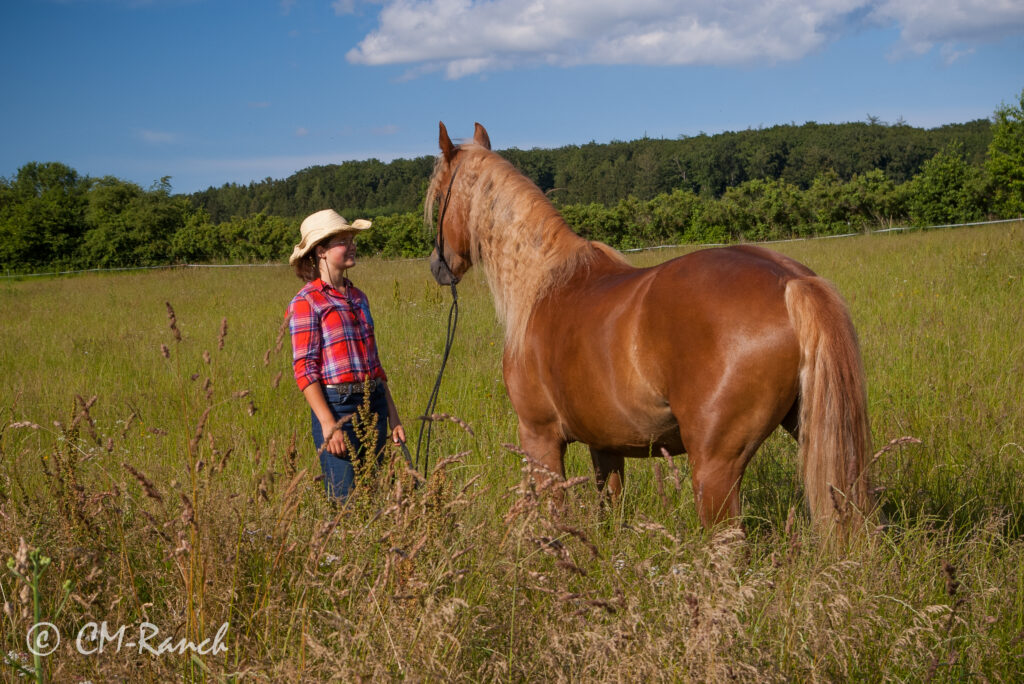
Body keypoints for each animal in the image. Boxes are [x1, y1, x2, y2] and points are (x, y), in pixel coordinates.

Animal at [423, 122, 872, 532]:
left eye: (439, 196)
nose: (438, 266)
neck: (543, 285)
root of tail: (789, 281)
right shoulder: (605, 445)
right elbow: (610, 512)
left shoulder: (540, 438)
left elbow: (555, 517)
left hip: (715, 466)